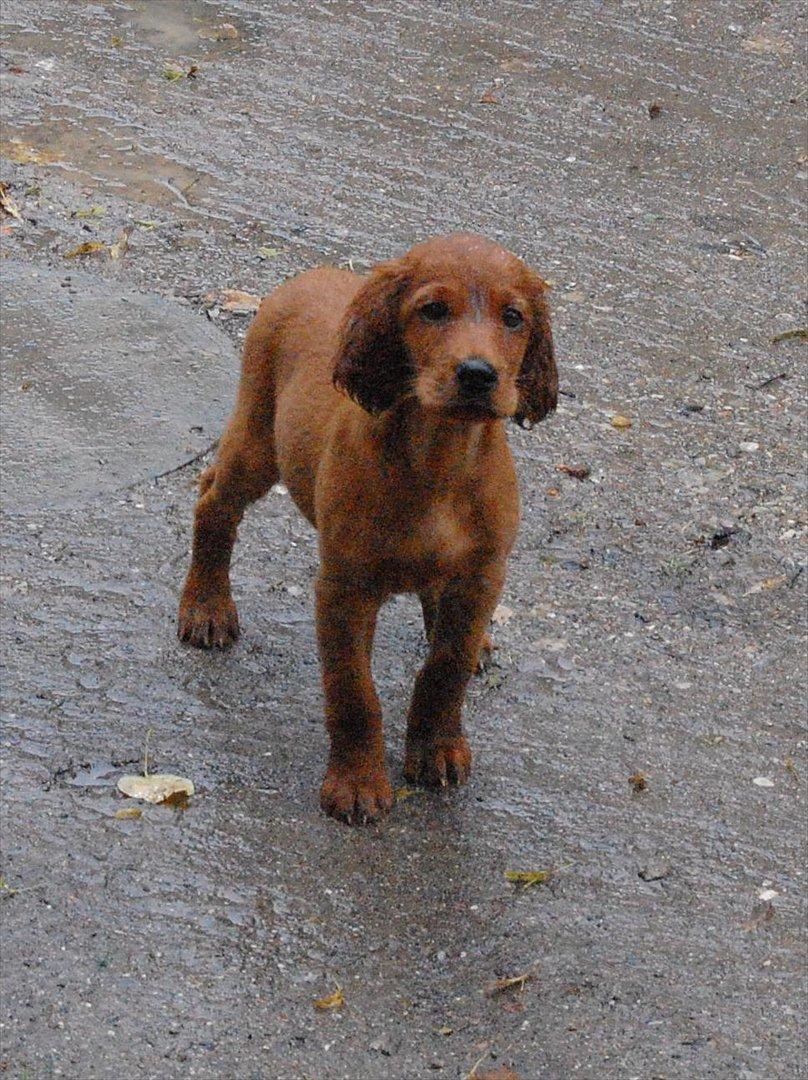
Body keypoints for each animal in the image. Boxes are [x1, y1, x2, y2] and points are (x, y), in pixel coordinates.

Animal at [177, 232, 557, 820]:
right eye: (432, 310)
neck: (439, 457)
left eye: (514, 318)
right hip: (259, 443)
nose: (478, 374)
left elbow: (446, 666)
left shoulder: (482, 576)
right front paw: (356, 784)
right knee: (214, 500)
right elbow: (354, 691)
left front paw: (436, 747)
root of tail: (314, 273)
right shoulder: (345, 586)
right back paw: (206, 608)